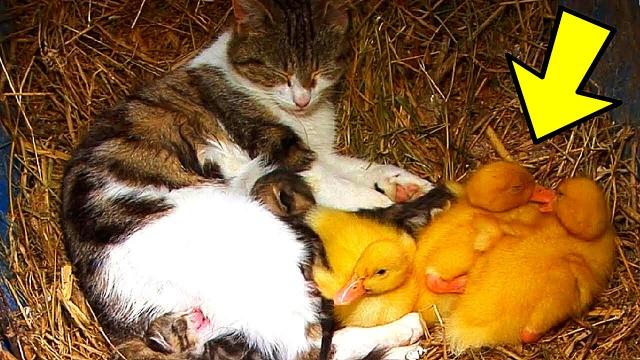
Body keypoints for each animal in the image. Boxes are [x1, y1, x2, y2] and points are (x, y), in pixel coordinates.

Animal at [61, 0, 430, 360]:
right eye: (278, 72)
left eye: (318, 71)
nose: (302, 99)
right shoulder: (283, 152)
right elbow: (345, 187)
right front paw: (392, 207)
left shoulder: (321, 152)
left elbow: (361, 168)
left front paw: (408, 185)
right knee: (309, 346)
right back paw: (407, 330)